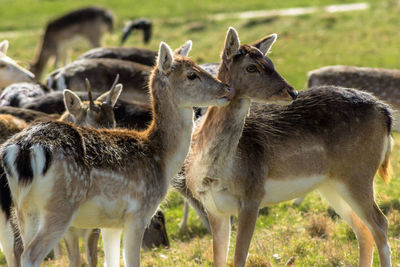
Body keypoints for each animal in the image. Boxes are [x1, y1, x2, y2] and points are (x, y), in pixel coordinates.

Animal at [0, 40, 231, 267]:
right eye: (191, 74)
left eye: (198, 65)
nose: (227, 88)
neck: (161, 157)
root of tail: (23, 150)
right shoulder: (138, 214)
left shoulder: (110, 224)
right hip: (60, 207)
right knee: (29, 255)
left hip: (24, 210)